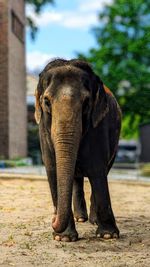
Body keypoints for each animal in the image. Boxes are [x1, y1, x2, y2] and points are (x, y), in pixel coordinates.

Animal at [34, 58, 121, 243]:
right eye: (46, 101)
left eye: (86, 102)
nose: (53, 218)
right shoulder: (43, 130)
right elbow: (52, 169)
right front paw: (64, 238)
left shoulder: (98, 127)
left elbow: (97, 170)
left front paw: (108, 235)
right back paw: (80, 218)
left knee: (103, 171)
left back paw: (93, 221)